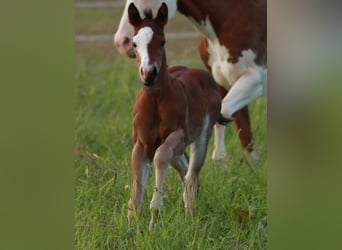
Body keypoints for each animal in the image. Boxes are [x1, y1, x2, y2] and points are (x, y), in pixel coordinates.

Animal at [115, 0, 268, 165]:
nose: (122, 41)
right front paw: (253, 166)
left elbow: (224, 111)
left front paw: (220, 160)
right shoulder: (222, 82)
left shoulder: (256, 79)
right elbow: (244, 129)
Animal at [128, 2, 222, 229]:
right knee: (185, 171)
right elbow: (136, 191)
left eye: (162, 42)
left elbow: (161, 156)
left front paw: (155, 215)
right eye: (134, 43)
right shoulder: (141, 144)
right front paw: (133, 225)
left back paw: (190, 218)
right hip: (178, 152)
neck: (155, 101)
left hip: (201, 139)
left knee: (191, 177)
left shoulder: (179, 135)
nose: (148, 74)